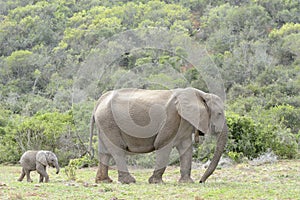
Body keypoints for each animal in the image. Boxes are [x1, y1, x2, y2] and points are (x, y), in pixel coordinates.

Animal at [89, 86, 227, 184]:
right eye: (219, 114)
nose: (201, 181)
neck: (202, 94)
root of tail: (98, 103)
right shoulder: (171, 118)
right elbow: (162, 144)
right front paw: (156, 182)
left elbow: (186, 149)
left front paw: (187, 182)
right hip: (108, 121)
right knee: (118, 150)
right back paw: (129, 181)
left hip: (104, 124)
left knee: (104, 152)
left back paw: (104, 181)